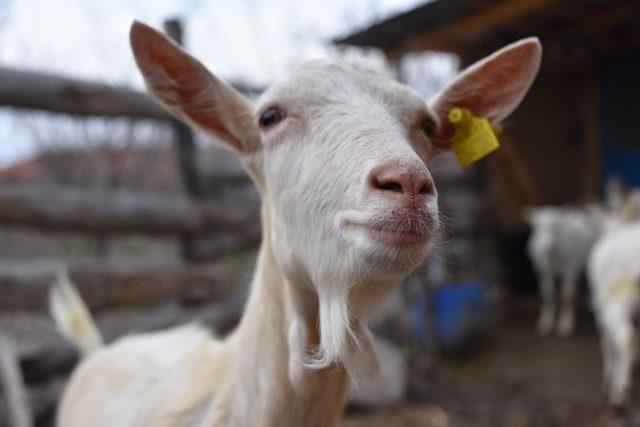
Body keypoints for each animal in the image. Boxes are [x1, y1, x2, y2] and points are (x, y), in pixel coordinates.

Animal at [524, 207, 600, 338]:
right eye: (536, 227)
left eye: (556, 226)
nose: (546, 246)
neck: (553, 256)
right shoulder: (543, 271)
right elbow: (548, 294)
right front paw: (546, 322)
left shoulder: (569, 270)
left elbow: (566, 295)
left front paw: (565, 324)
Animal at [592, 221, 640, 408]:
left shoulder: (601, 309)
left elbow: (606, 342)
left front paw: (608, 374)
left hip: (617, 299)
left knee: (625, 341)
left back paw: (619, 392)